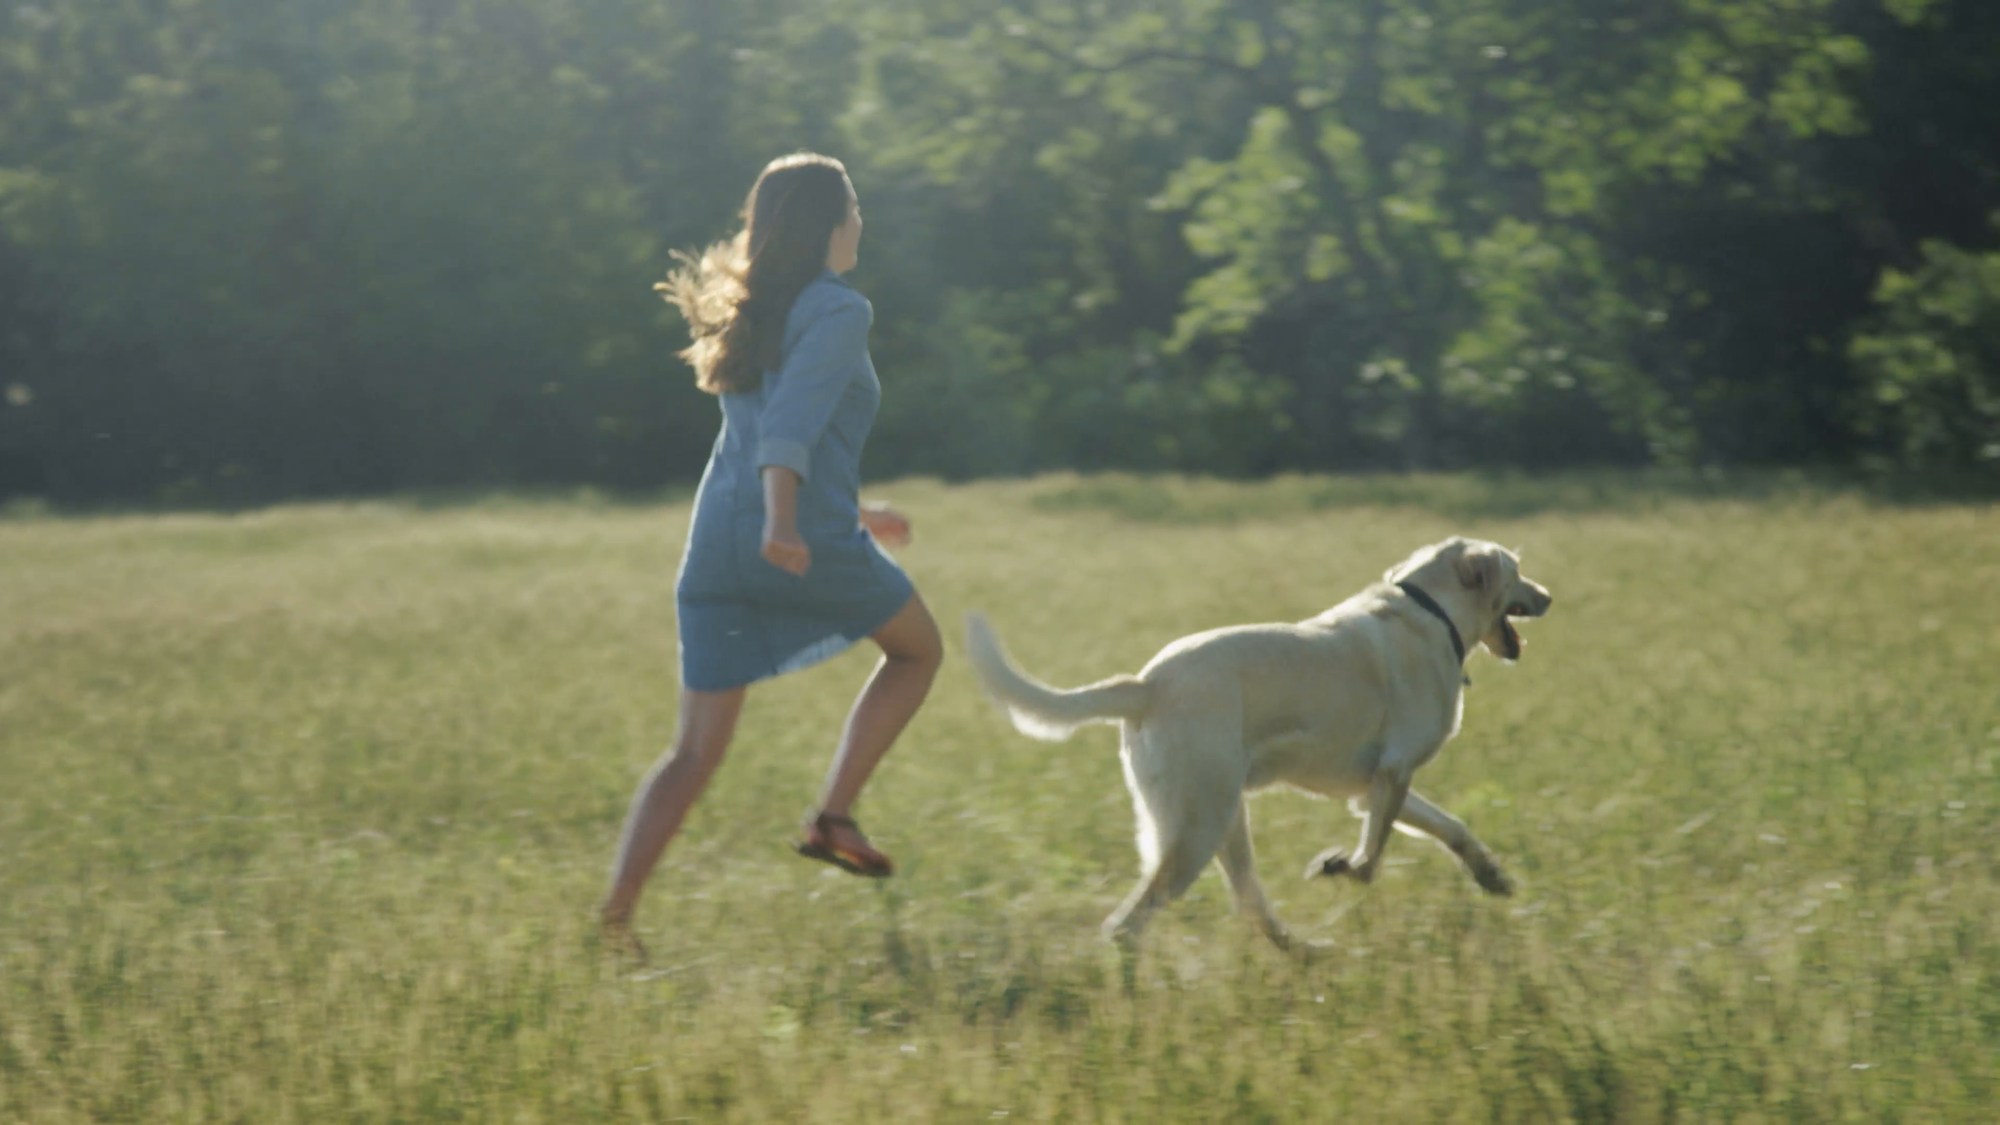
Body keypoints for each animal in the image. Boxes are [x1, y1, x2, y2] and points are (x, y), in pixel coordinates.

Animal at [960, 532, 1552, 944]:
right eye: (1518, 571)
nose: (1548, 596)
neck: (1433, 610)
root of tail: (1147, 684)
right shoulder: (1393, 773)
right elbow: (1369, 862)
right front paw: (1339, 866)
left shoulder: (1376, 788)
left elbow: (1453, 828)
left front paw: (1493, 878)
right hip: (1200, 828)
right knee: (1128, 925)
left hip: (1222, 822)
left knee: (1249, 907)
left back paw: (1308, 954)